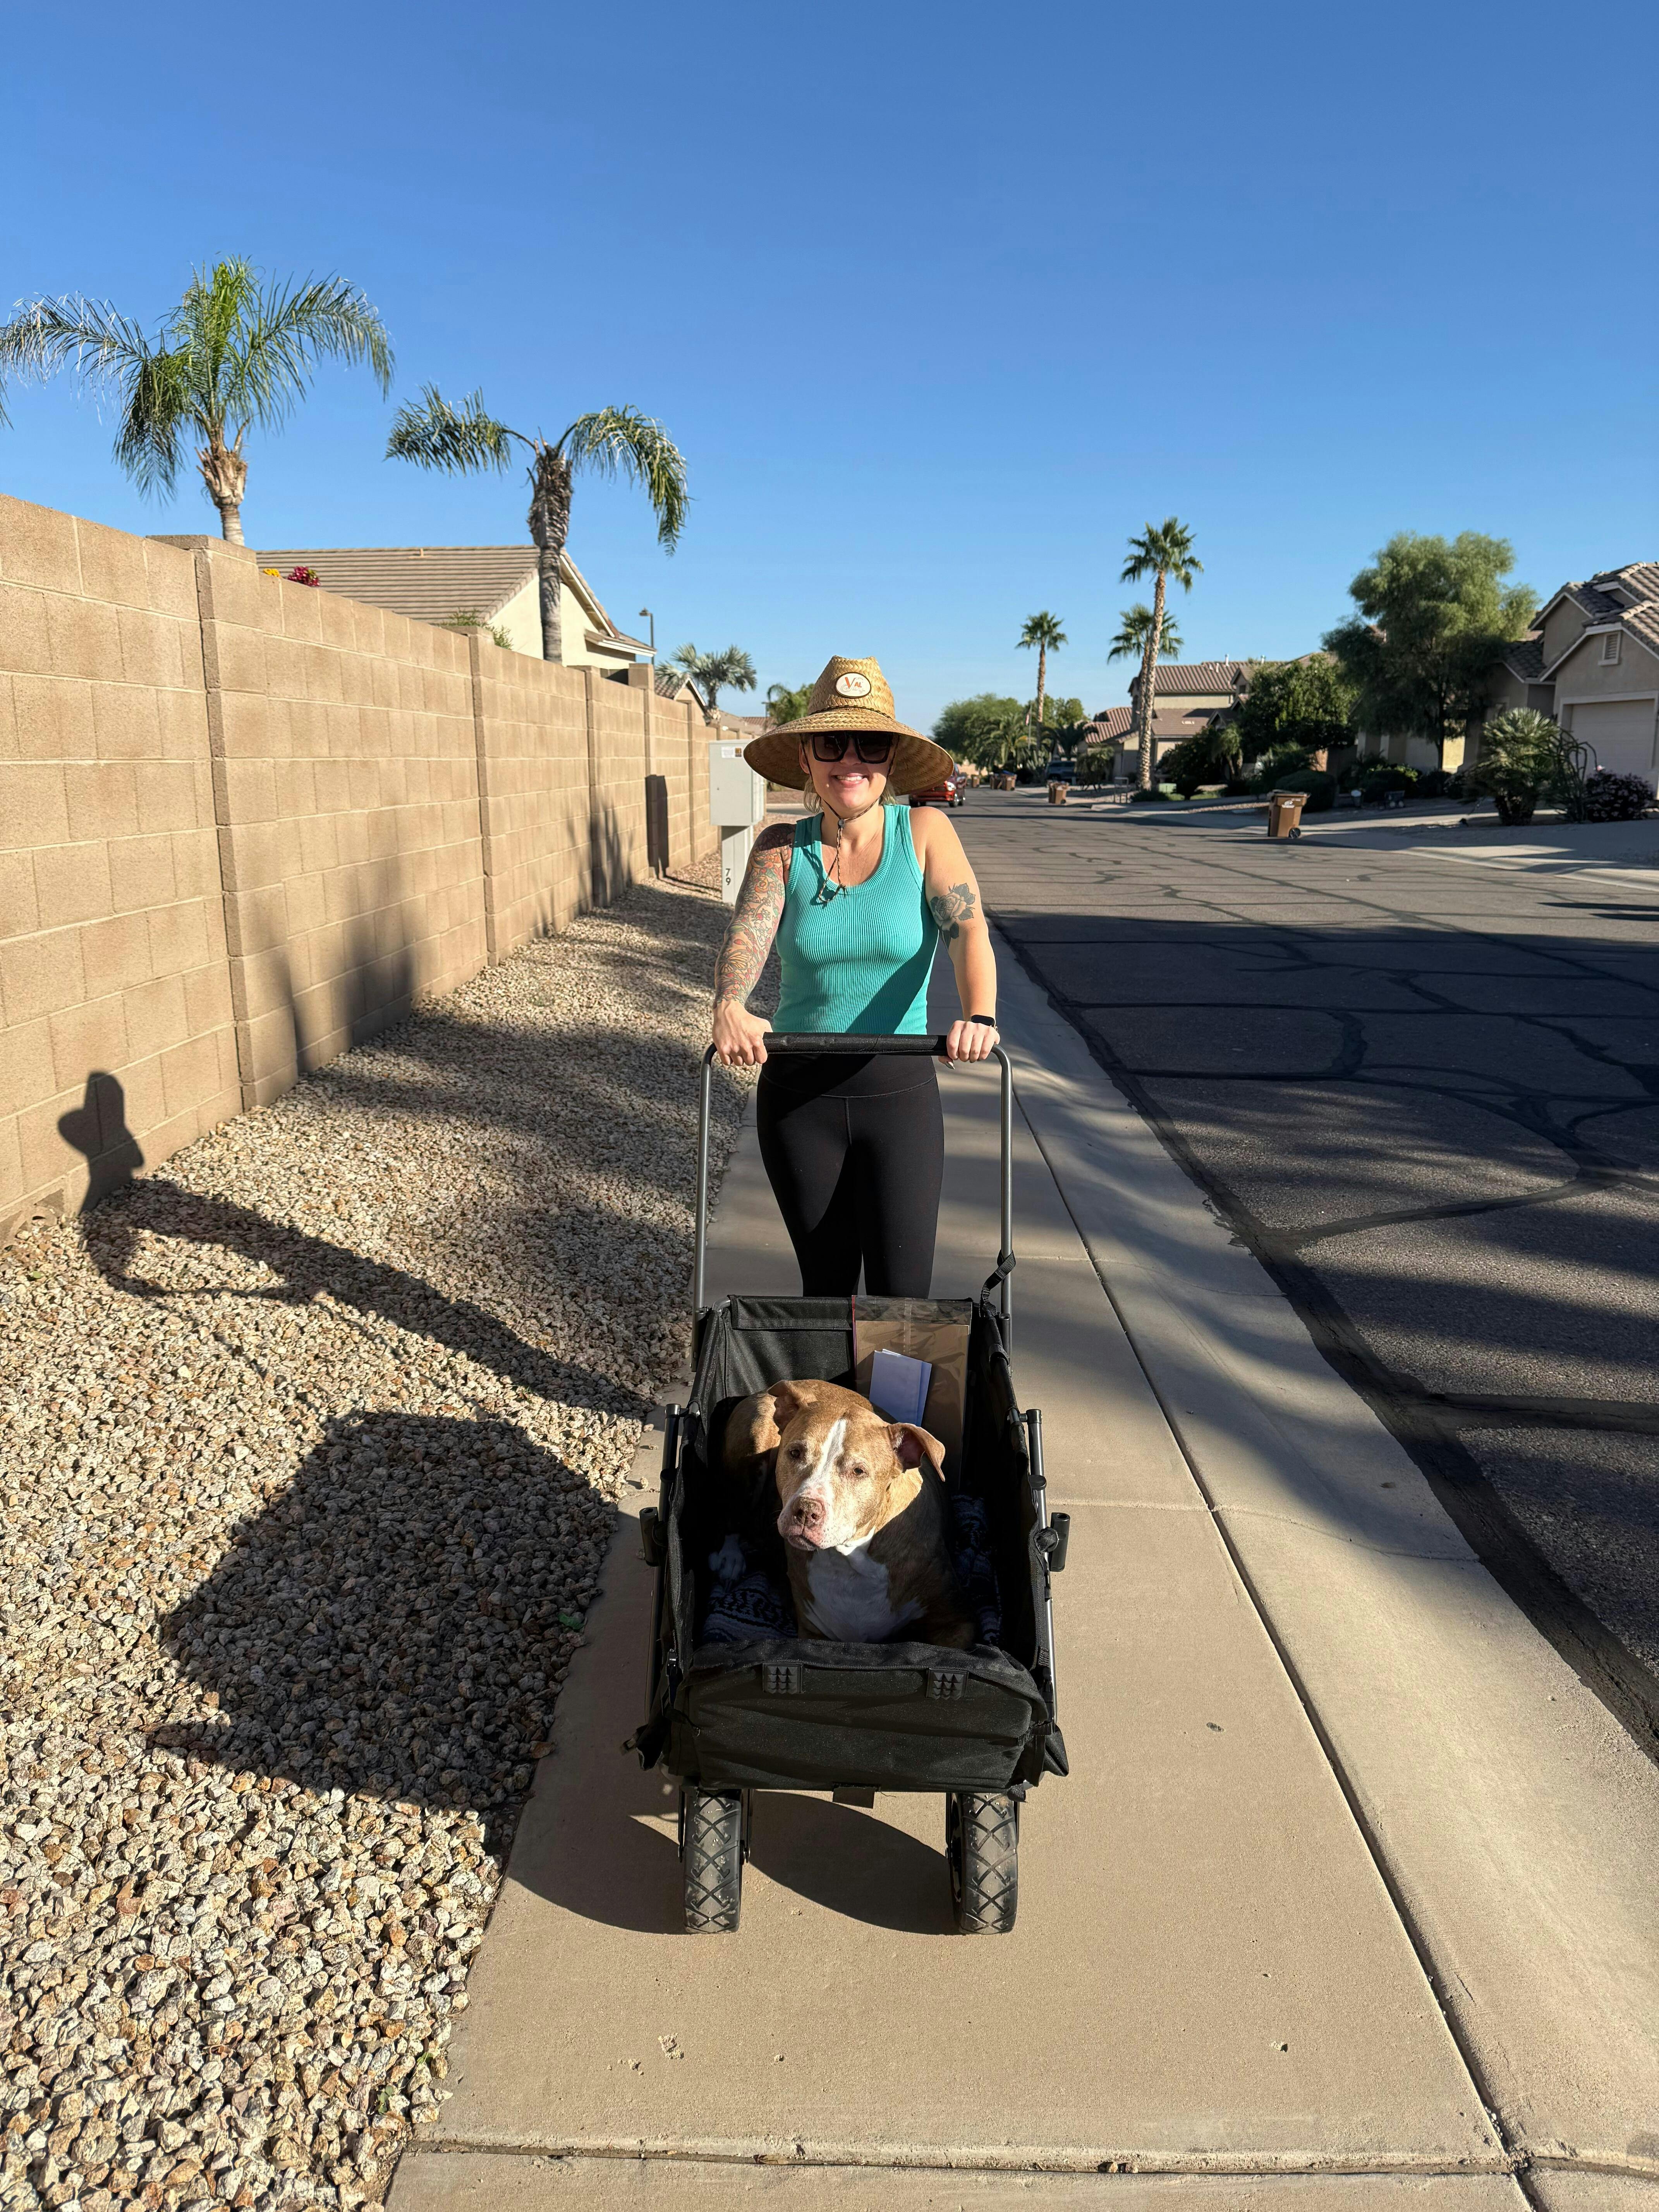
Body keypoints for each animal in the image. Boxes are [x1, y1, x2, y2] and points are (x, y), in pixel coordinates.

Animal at [721, 1380, 975, 1648]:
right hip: (754, 1433)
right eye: (795, 1453)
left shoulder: (957, 1623)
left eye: (858, 1471)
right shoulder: (811, 1632)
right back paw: (730, 1558)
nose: (806, 1510)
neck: (848, 1559)